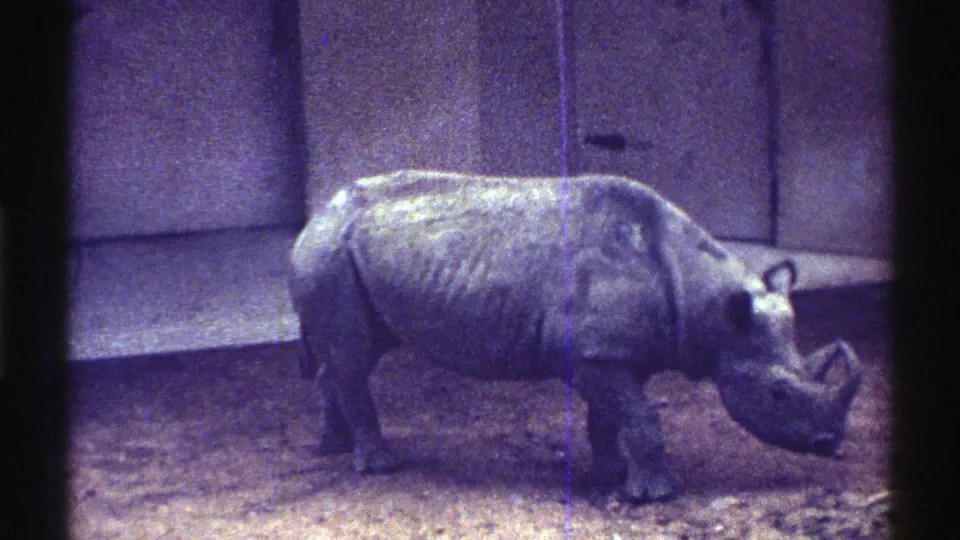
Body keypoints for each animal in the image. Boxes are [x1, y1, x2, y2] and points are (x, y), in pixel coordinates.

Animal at [288, 170, 862, 503]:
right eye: (778, 393)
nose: (829, 445)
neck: (712, 309)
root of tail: (317, 213)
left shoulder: (615, 351)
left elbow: (610, 419)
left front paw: (611, 476)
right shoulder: (593, 355)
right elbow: (640, 418)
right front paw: (652, 497)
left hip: (351, 255)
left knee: (353, 353)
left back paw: (334, 447)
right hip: (331, 251)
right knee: (353, 355)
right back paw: (380, 466)